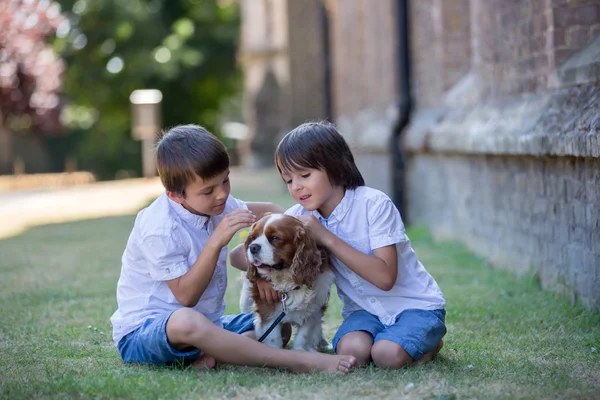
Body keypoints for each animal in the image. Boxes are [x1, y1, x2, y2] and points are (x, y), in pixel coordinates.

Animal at [238, 214, 332, 352]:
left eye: (274, 238)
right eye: (253, 237)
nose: (252, 247)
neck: (287, 279)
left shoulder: (313, 311)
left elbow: (304, 336)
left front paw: (301, 351)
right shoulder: (267, 311)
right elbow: (272, 337)